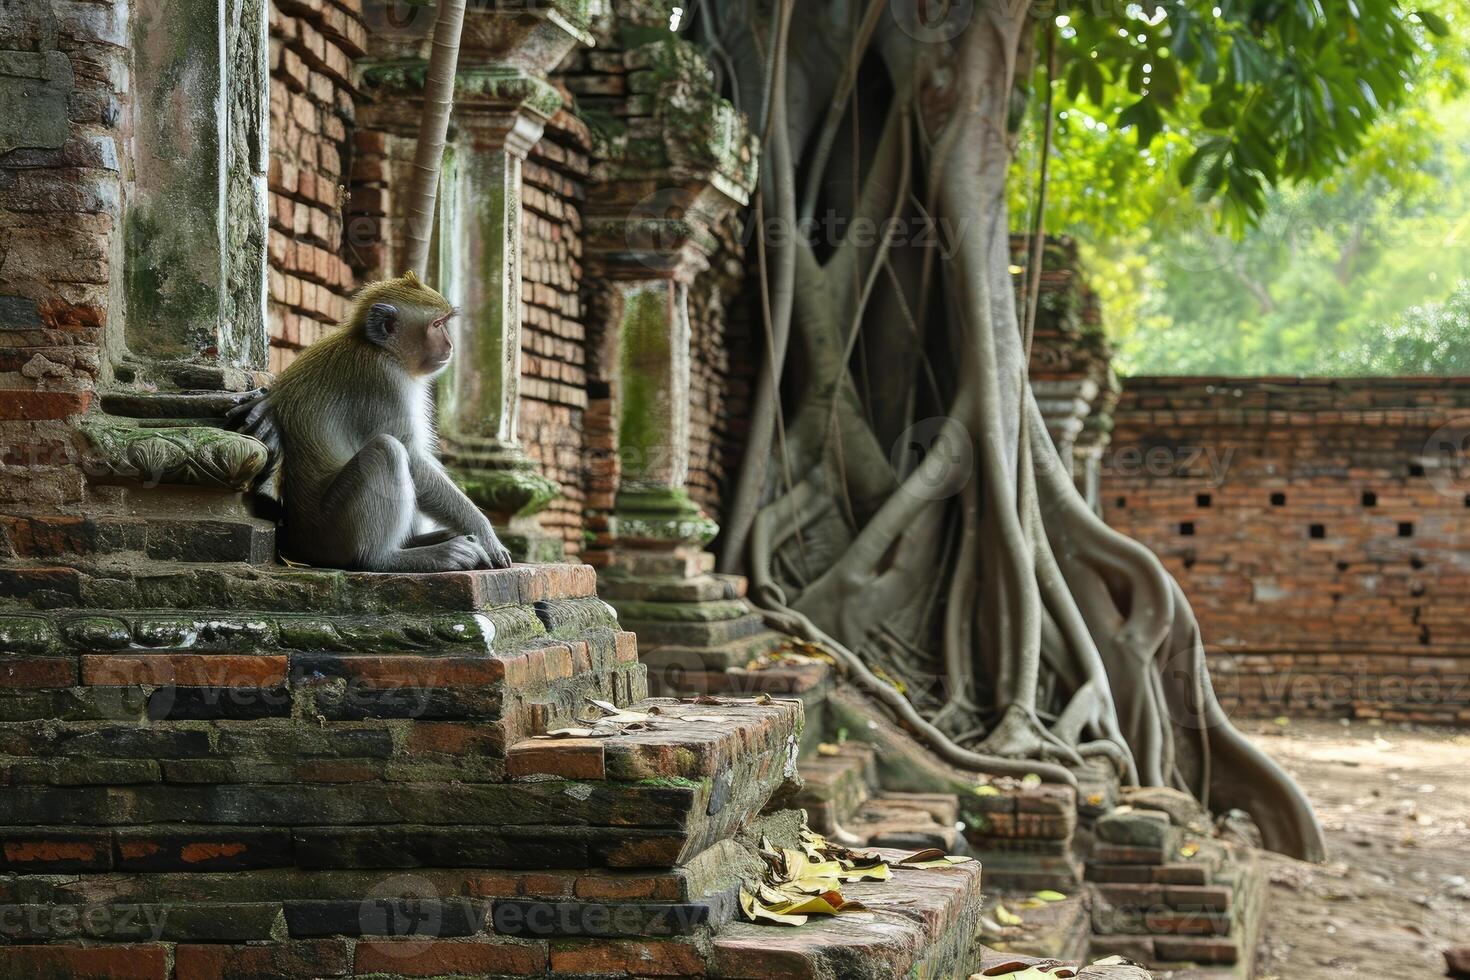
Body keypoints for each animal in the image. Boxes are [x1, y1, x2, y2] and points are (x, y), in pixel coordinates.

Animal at [223, 271, 511, 570]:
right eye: (437, 324)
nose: (450, 345)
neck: (378, 348)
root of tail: (296, 545)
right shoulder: (385, 380)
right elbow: (414, 459)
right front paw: (485, 532)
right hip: (332, 531)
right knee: (387, 450)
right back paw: (389, 557)